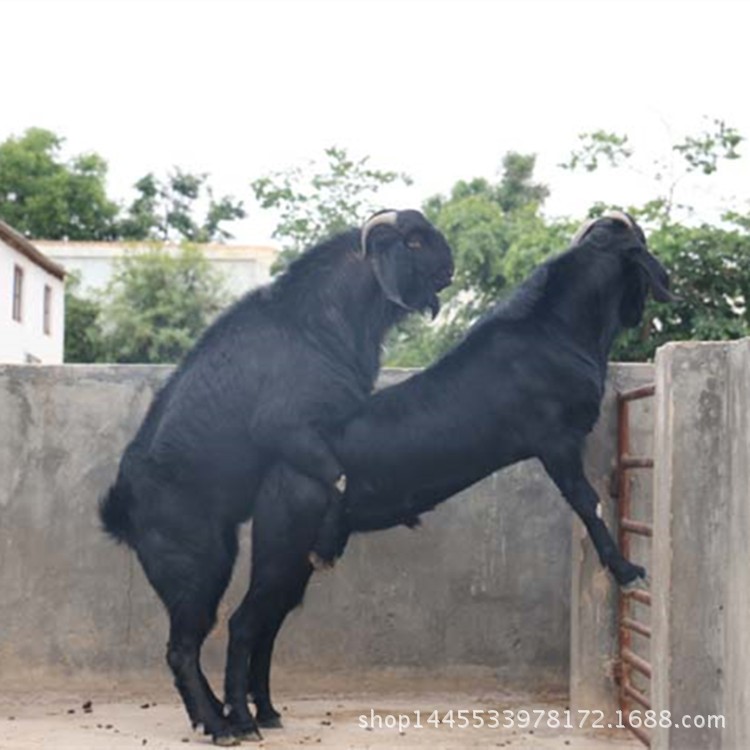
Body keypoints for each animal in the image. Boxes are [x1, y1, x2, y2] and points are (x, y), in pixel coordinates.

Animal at [98, 210, 452, 748]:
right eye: (413, 241)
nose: (450, 264)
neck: (316, 322)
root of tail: (123, 510)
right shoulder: (287, 428)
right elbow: (338, 478)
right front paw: (328, 543)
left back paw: (222, 716)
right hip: (195, 567)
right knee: (182, 647)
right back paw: (223, 724)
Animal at [231, 213, 676, 736]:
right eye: (641, 245)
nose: (664, 282)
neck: (554, 329)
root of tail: (279, 463)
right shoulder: (555, 441)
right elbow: (589, 503)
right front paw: (626, 570)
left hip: (296, 557)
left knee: (268, 623)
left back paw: (268, 711)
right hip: (281, 546)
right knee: (244, 623)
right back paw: (239, 721)